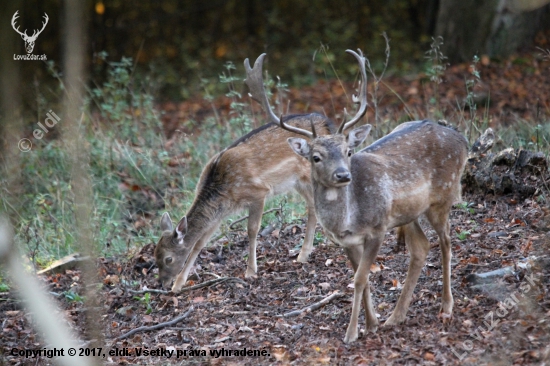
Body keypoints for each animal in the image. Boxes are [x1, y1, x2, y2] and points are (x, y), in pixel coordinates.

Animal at [249, 49, 470, 344]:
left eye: (348, 151)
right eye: (316, 156)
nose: (343, 175)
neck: (348, 219)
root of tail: (463, 140)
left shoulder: (377, 228)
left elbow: (360, 279)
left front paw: (352, 332)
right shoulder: (347, 241)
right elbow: (359, 278)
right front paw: (372, 322)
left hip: (443, 196)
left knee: (446, 242)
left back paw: (446, 306)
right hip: (408, 213)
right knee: (422, 247)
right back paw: (396, 316)